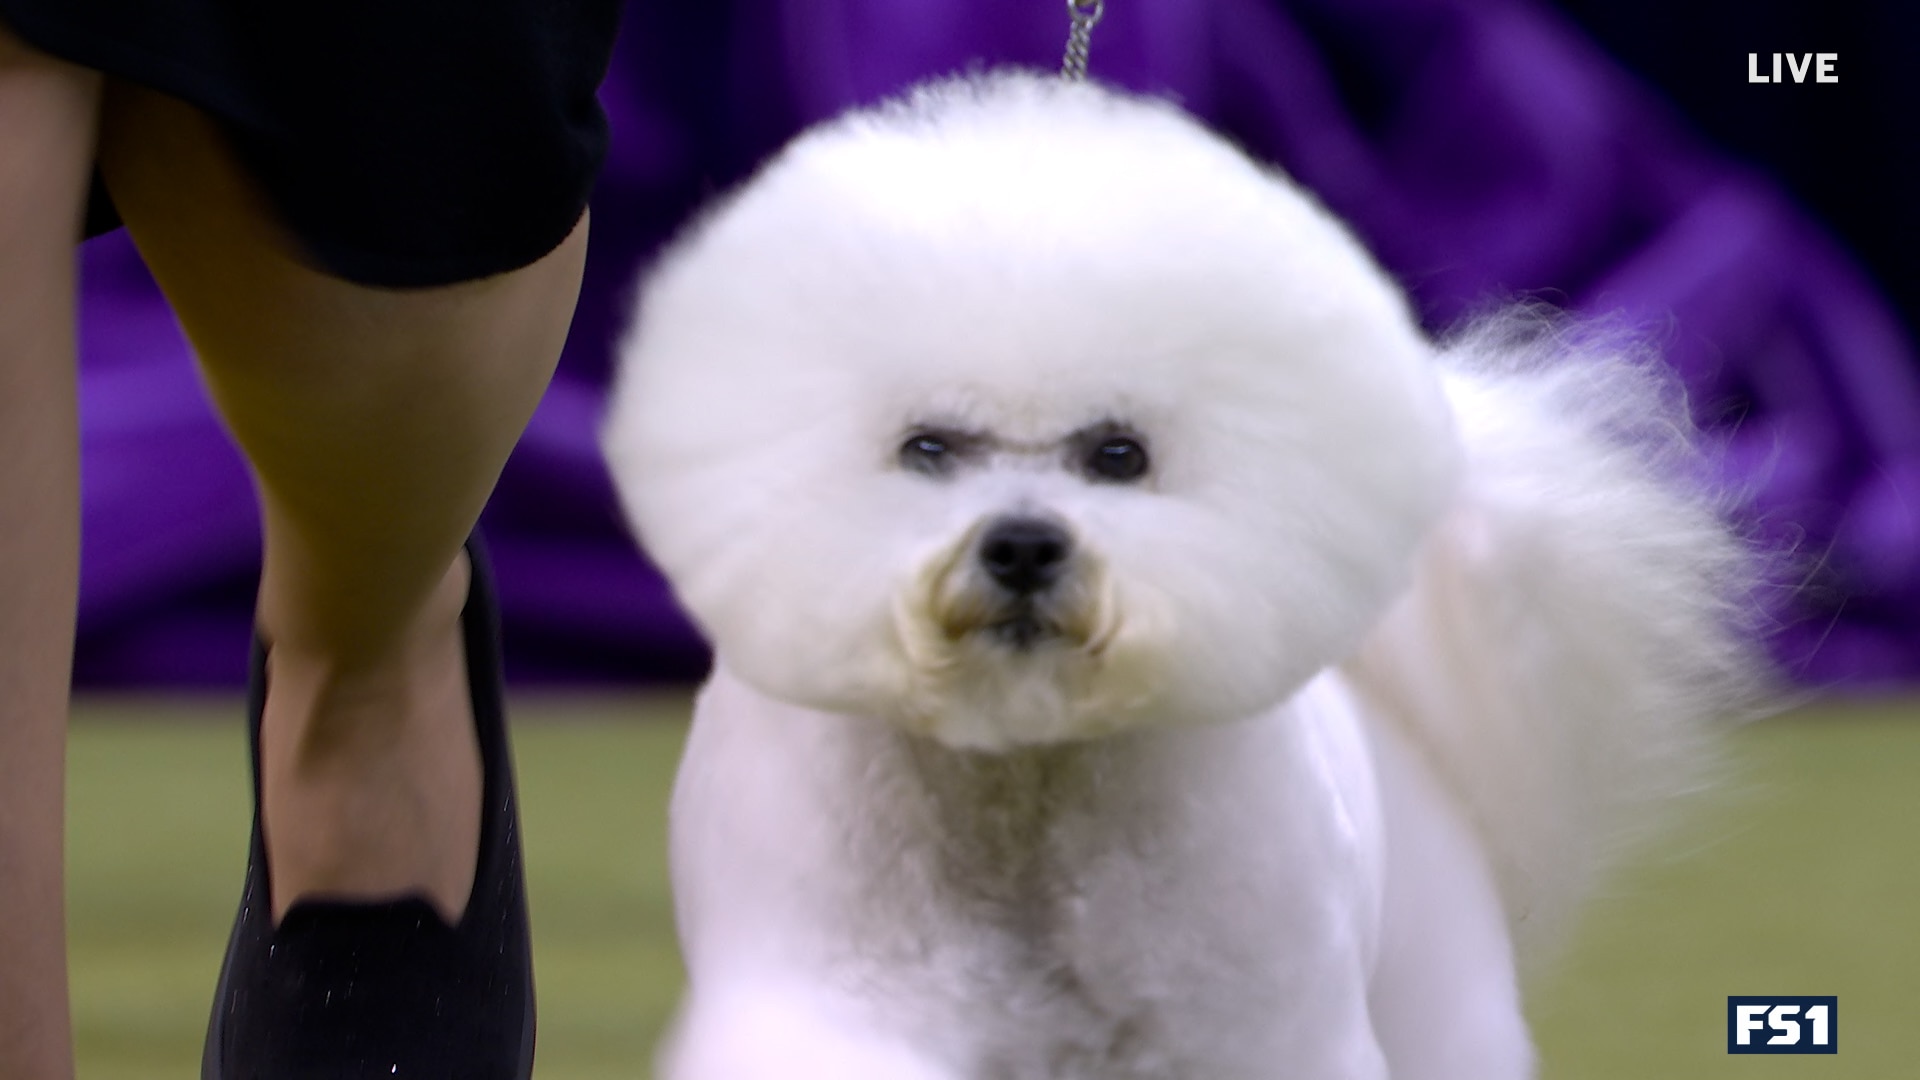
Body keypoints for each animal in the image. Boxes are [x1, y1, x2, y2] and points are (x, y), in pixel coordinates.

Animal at [602, 71, 1766, 1068]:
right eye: (927, 447)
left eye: (1119, 453)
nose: (1023, 546)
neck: (1023, 793)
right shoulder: (837, 997)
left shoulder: (1254, 1026)